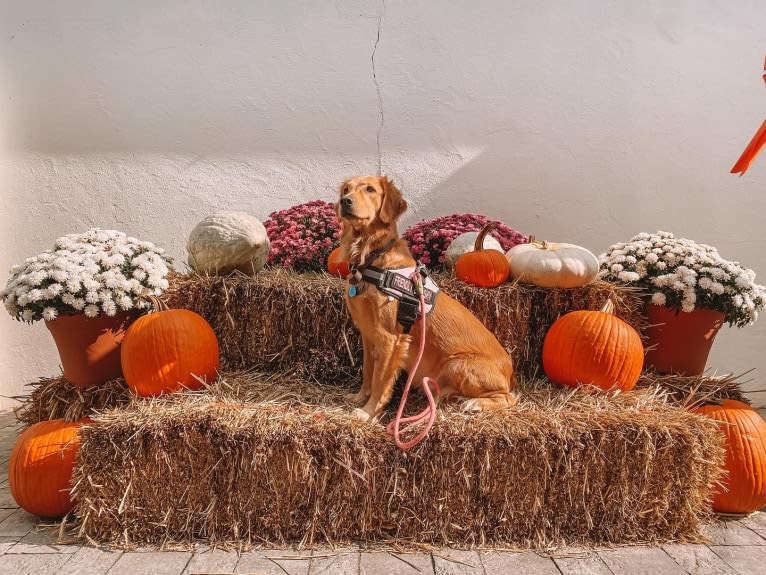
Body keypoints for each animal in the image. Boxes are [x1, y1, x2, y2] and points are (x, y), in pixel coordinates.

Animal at [334, 176, 516, 424]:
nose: (345, 201)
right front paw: (360, 397)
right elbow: (368, 371)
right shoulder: (368, 335)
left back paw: (475, 403)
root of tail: (509, 368)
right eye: (346, 189)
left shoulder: (390, 338)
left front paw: (369, 411)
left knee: (508, 397)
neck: (370, 258)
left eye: (370, 189)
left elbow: (381, 380)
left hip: (457, 363)